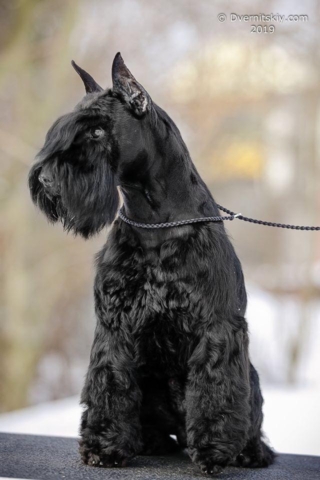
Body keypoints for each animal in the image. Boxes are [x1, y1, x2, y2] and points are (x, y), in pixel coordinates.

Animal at [28, 53, 276, 476]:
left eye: (97, 131)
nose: (44, 178)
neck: (154, 222)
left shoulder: (215, 327)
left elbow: (215, 391)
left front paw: (213, 453)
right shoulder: (114, 325)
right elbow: (109, 384)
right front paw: (104, 445)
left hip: (251, 377)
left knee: (247, 415)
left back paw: (249, 451)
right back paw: (151, 441)